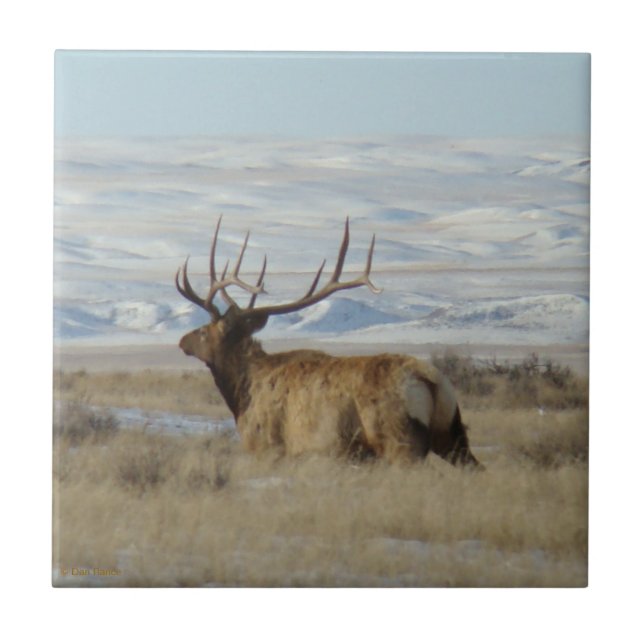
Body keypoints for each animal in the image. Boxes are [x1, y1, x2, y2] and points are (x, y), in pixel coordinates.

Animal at [176, 217, 483, 468]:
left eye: (203, 331)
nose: (182, 341)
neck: (241, 394)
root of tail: (431, 381)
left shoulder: (268, 446)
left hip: (400, 439)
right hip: (452, 433)